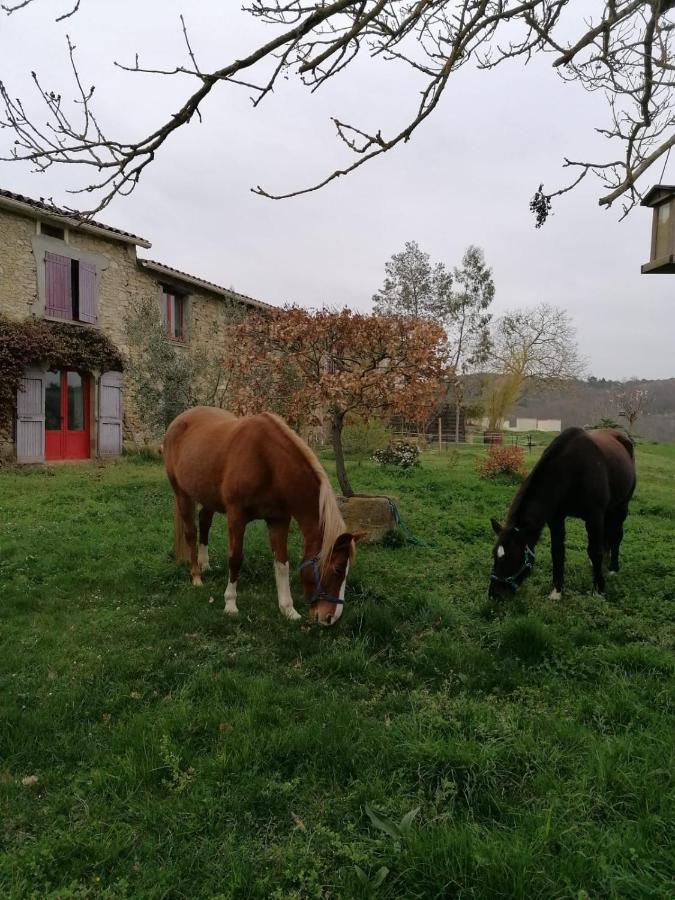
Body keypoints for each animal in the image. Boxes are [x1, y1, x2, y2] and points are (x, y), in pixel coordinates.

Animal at [161, 408, 362, 624]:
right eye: (338, 569)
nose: (330, 618)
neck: (267, 462)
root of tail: (179, 420)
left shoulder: (279, 520)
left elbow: (282, 564)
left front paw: (288, 609)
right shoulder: (236, 517)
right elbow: (235, 558)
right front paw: (230, 604)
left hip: (208, 497)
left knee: (204, 522)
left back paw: (204, 564)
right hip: (181, 493)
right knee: (191, 533)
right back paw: (197, 576)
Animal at [488, 428, 636, 600]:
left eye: (512, 557)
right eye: (494, 555)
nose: (494, 594)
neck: (573, 470)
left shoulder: (594, 517)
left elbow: (595, 551)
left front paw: (598, 590)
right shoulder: (556, 519)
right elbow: (557, 552)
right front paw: (557, 591)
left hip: (621, 506)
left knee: (616, 536)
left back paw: (613, 568)